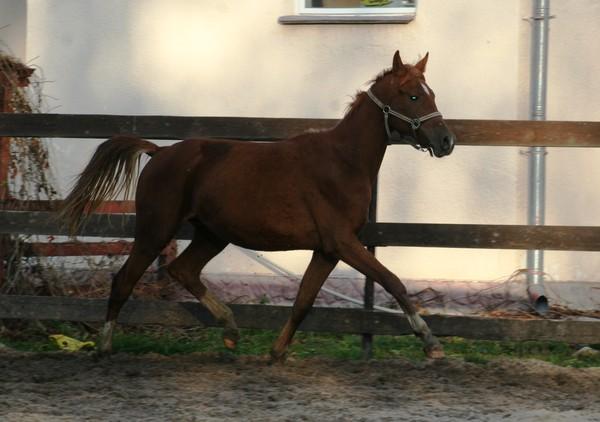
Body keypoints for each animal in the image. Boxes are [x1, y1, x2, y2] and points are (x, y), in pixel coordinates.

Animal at [60, 51, 455, 361]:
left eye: (432, 93)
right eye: (413, 96)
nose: (446, 141)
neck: (343, 161)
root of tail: (158, 152)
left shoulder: (327, 250)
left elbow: (303, 301)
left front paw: (275, 353)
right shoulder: (343, 242)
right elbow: (393, 282)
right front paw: (431, 343)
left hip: (211, 234)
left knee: (183, 270)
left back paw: (231, 330)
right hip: (155, 231)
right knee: (124, 281)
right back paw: (104, 348)